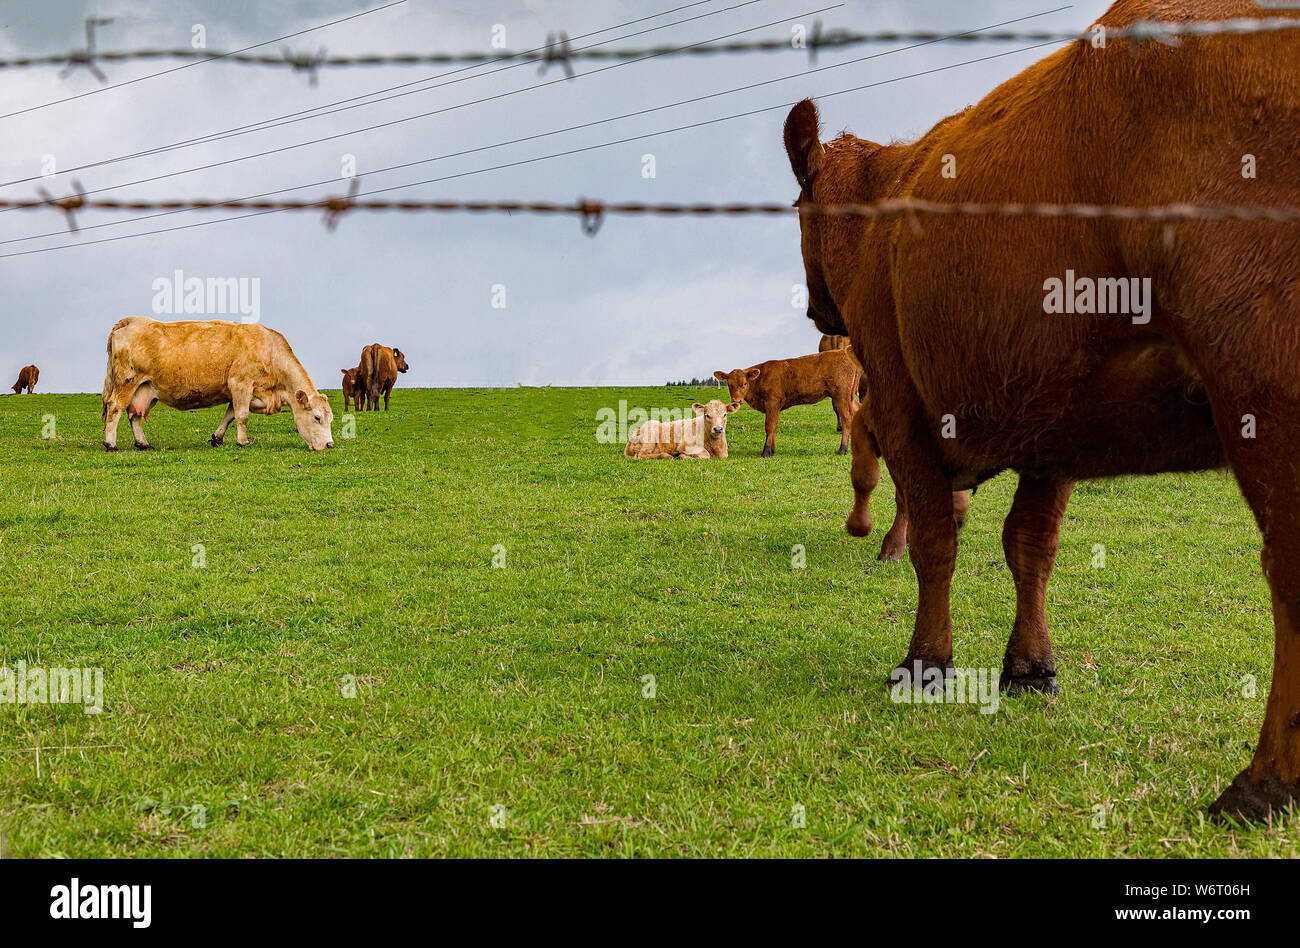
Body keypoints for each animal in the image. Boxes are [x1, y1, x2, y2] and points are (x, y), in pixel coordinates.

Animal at [101, 316, 334, 451]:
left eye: (330, 418)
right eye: (317, 417)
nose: (330, 444)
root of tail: (131, 321)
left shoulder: (237, 393)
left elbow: (230, 416)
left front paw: (217, 438)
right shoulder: (240, 384)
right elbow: (242, 416)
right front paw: (243, 441)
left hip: (145, 389)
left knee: (135, 416)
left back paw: (143, 444)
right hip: (127, 382)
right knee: (115, 408)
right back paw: (111, 444)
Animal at [713, 350, 859, 458]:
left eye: (744, 384)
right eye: (729, 384)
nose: (737, 400)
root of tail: (843, 352)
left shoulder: (772, 402)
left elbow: (770, 426)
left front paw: (766, 451)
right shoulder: (775, 406)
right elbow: (775, 426)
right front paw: (772, 450)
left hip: (841, 395)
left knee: (846, 418)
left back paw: (842, 449)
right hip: (850, 397)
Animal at [783, 0, 1296, 820]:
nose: (814, 309)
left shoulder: (900, 403)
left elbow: (936, 539)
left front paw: (926, 662)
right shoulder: (1055, 417)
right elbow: (1030, 545)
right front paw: (1028, 665)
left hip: (1261, 376)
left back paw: (1264, 780)